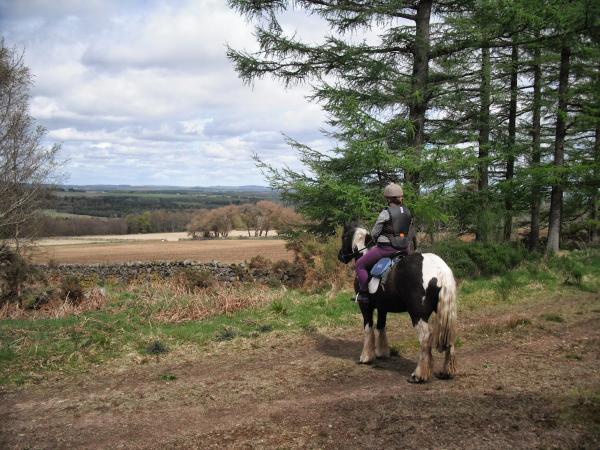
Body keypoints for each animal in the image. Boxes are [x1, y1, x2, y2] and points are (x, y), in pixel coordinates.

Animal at [336, 221, 458, 384]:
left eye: (343, 236)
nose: (340, 256)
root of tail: (440, 270)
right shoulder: (382, 307)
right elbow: (381, 326)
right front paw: (382, 352)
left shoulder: (365, 306)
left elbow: (368, 328)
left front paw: (366, 357)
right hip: (445, 313)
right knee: (449, 337)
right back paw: (446, 372)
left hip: (417, 314)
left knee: (425, 337)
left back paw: (419, 375)